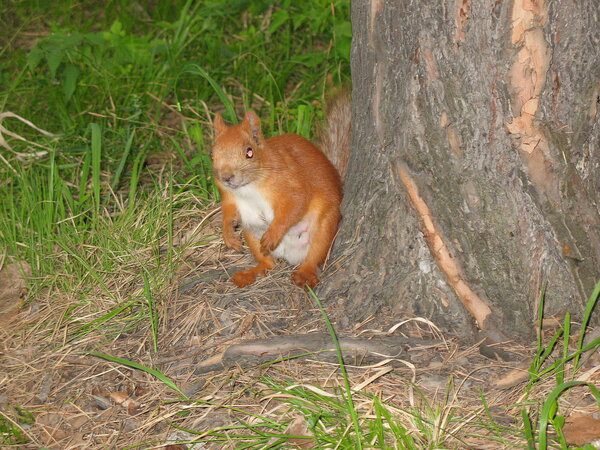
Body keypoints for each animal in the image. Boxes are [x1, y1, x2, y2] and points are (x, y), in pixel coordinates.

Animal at [212, 93, 350, 288]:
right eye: (213, 155)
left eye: (249, 152)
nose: (226, 177)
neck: (249, 188)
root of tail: (290, 256)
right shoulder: (230, 197)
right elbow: (227, 211)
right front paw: (228, 235)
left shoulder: (291, 184)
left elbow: (294, 206)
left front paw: (273, 234)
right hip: (251, 233)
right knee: (268, 263)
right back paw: (250, 273)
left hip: (325, 227)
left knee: (315, 255)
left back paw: (305, 274)